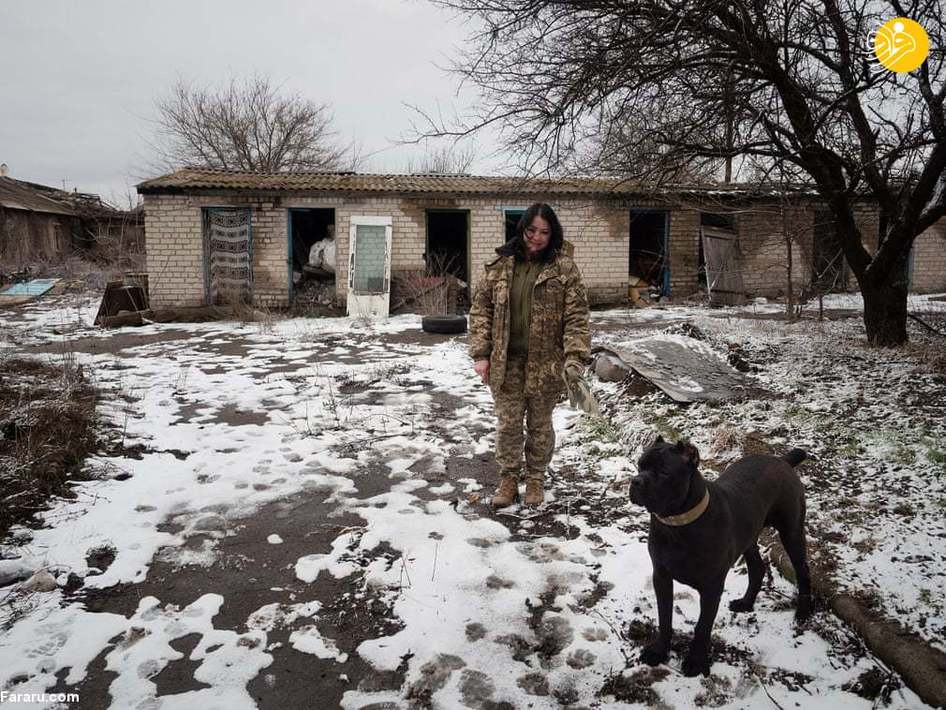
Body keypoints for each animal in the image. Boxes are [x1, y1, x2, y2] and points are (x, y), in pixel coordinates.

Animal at [632, 440, 808, 680]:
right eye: (640, 464)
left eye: (664, 471)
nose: (636, 481)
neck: (678, 524)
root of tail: (782, 460)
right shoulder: (661, 576)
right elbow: (664, 617)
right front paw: (659, 651)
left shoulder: (711, 587)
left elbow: (703, 626)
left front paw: (696, 662)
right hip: (749, 537)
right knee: (757, 568)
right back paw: (745, 603)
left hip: (792, 532)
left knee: (803, 570)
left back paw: (803, 613)